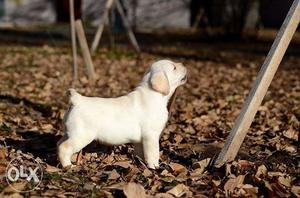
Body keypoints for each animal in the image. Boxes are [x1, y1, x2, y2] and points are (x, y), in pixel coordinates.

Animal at [57, 60, 186, 169]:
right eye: (174, 67)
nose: (183, 64)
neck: (155, 95)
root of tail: (77, 100)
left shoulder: (140, 140)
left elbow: (140, 152)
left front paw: (140, 163)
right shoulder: (151, 136)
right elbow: (153, 154)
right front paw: (154, 167)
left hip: (70, 133)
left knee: (58, 144)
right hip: (81, 136)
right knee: (64, 148)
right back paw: (68, 166)